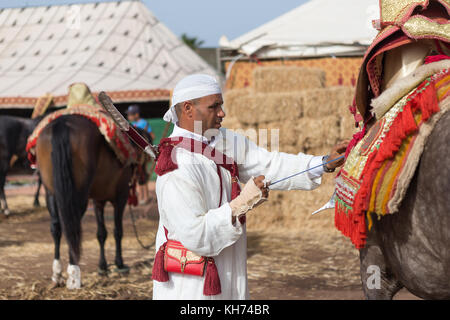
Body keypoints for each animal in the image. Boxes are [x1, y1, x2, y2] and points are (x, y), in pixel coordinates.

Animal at [36, 114, 149, 288]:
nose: (145, 178)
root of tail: (62, 123)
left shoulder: (98, 200)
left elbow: (101, 233)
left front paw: (103, 267)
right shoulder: (121, 197)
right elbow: (118, 231)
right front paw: (119, 263)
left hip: (51, 192)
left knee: (57, 227)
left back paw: (57, 274)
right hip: (78, 195)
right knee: (72, 226)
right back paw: (74, 275)